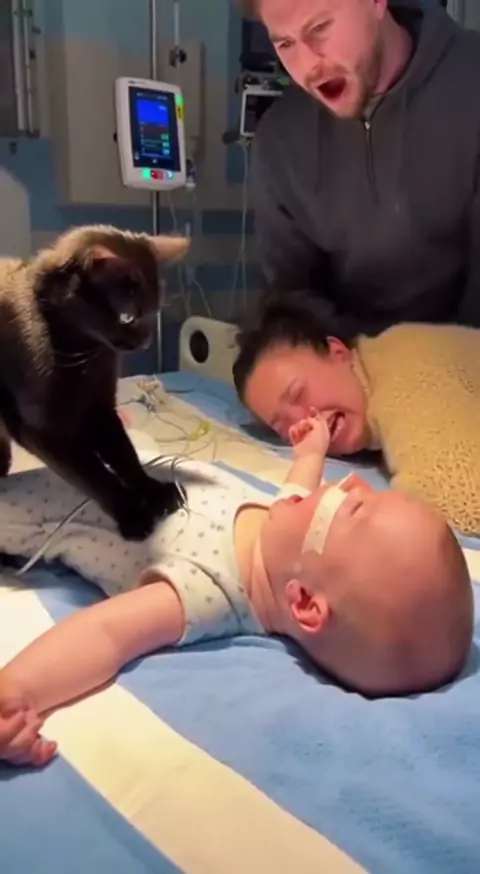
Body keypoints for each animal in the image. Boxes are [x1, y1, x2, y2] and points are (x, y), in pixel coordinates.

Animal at [0, 224, 189, 541]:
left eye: (154, 312)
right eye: (127, 316)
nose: (147, 341)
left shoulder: (99, 409)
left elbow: (124, 455)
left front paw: (152, 490)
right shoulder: (43, 430)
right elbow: (94, 474)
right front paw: (132, 514)